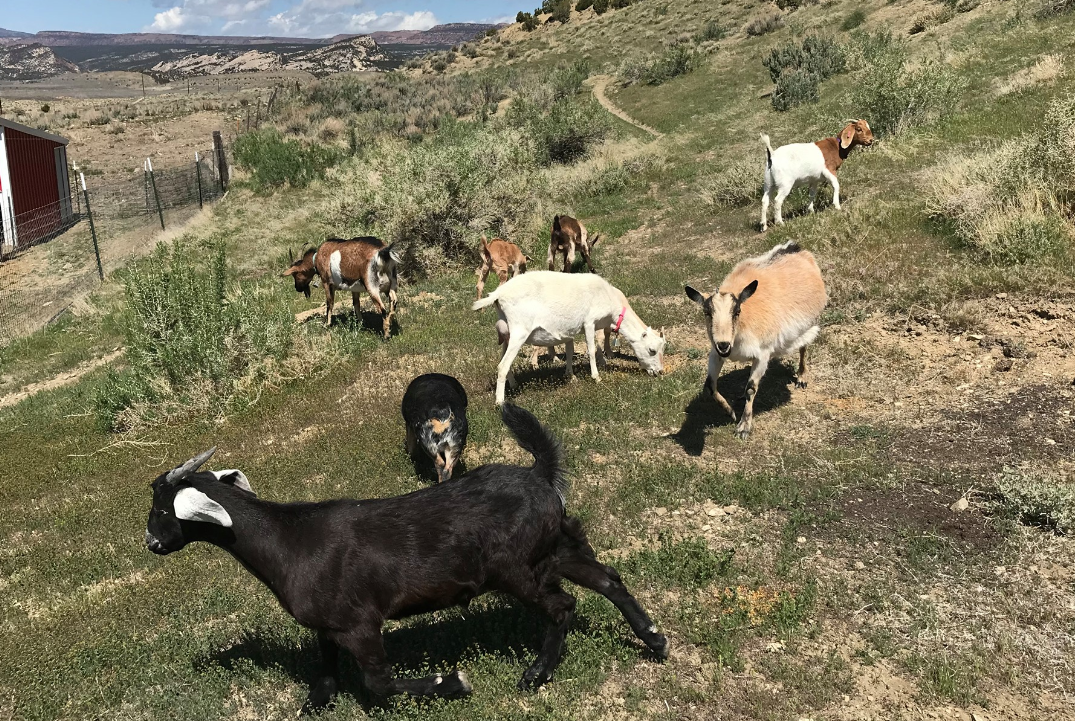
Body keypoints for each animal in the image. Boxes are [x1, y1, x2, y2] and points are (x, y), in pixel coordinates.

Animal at [142, 406, 662, 717]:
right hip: (555, 547)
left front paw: (452, 683)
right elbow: (325, 665)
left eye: (161, 510)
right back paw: (654, 639)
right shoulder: (330, 623)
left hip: (519, 570)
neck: (289, 540)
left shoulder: (359, 623)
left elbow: (378, 683)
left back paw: (536, 674)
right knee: (608, 578)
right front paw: (316, 703)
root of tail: (540, 475)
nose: (151, 543)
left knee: (563, 607)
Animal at [473, 271, 662, 406]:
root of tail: (498, 294)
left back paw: (513, 384)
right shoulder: (589, 322)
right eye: (651, 350)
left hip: (507, 333)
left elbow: (571, 351)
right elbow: (591, 349)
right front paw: (596, 376)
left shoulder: (571, 329)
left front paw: (571, 375)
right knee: (502, 365)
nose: (660, 372)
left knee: (505, 361)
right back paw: (500, 402)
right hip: (519, 331)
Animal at [683, 240, 825, 440]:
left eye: (737, 312)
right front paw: (730, 412)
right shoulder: (715, 353)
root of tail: (795, 248)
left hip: (809, 325)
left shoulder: (763, 354)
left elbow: (751, 388)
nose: (724, 345)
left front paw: (744, 427)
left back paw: (801, 377)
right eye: (706, 313)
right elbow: (710, 385)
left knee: (804, 346)